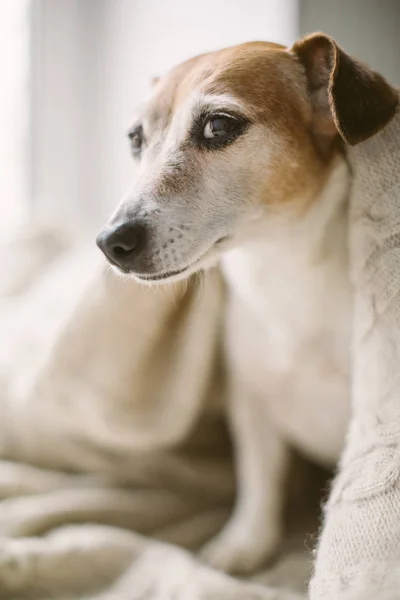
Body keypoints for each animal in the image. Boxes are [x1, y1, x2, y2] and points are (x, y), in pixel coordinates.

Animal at [96, 34, 396, 576]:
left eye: (218, 126)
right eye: (134, 138)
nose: (110, 242)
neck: (281, 275)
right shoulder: (251, 402)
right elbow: (260, 477)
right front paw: (246, 542)